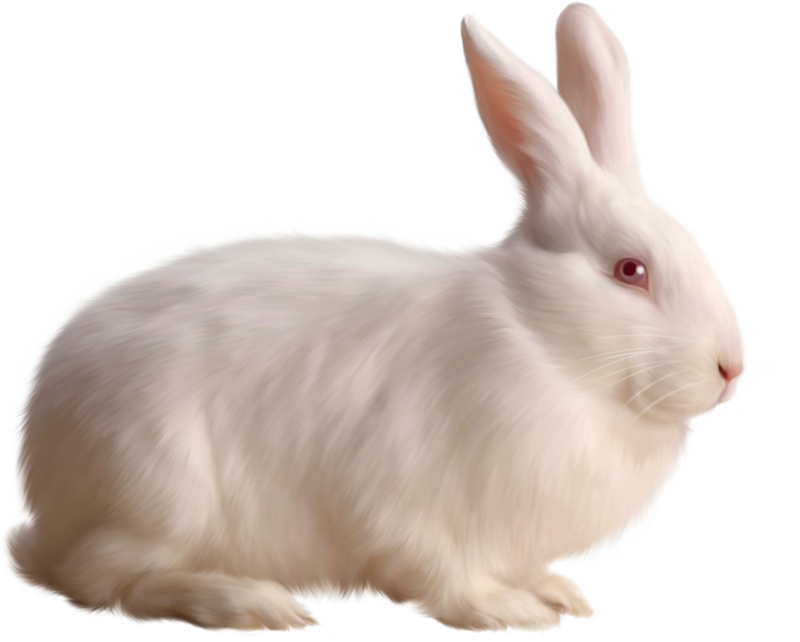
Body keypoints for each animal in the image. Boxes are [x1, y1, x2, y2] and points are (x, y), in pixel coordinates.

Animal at [2, 1, 747, 636]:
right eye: (631, 271)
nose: (729, 367)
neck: (543, 342)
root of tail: (41, 489)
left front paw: (559, 593)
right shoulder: (408, 504)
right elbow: (441, 577)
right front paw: (512, 612)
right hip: (162, 490)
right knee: (106, 579)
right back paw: (255, 604)